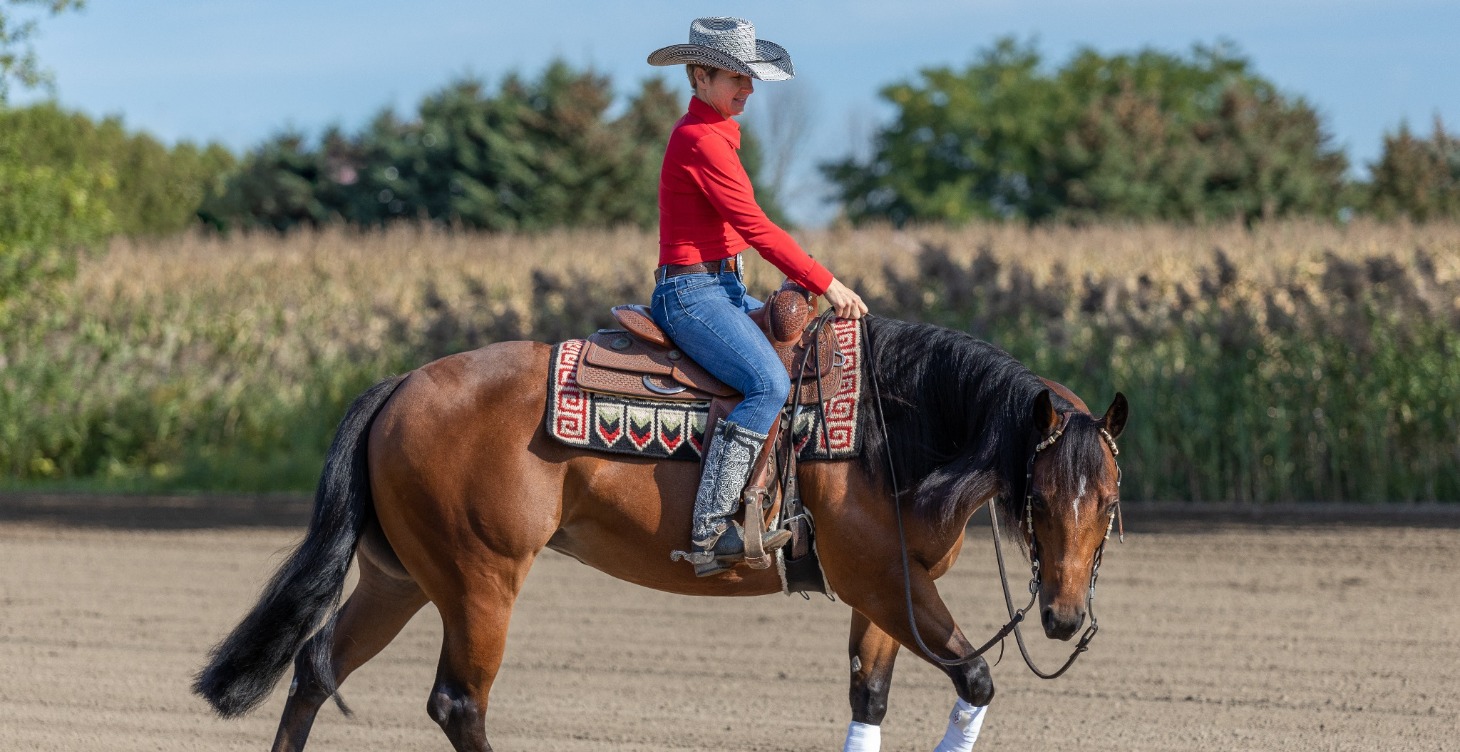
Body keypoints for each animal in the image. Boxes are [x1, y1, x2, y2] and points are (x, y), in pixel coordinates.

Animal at [194, 315, 1127, 747]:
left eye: (1110, 500)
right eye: (1043, 499)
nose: (1063, 617)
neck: (888, 425)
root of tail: (401, 385)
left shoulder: (887, 593)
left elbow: (870, 699)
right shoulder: (882, 582)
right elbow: (977, 677)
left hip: (399, 579)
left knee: (315, 666)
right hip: (478, 580)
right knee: (458, 702)